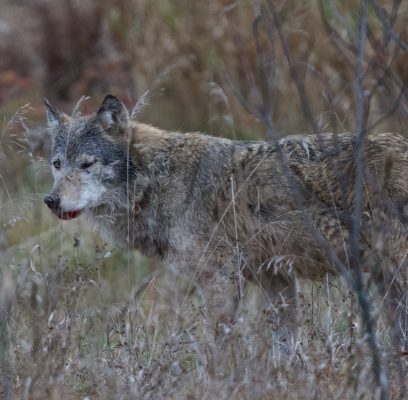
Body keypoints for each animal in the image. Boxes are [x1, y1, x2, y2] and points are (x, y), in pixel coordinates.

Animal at [42, 95, 408, 340]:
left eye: (86, 164)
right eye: (57, 164)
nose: (50, 200)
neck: (160, 179)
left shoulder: (219, 279)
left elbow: (219, 346)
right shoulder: (275, 277)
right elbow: (286, 343)